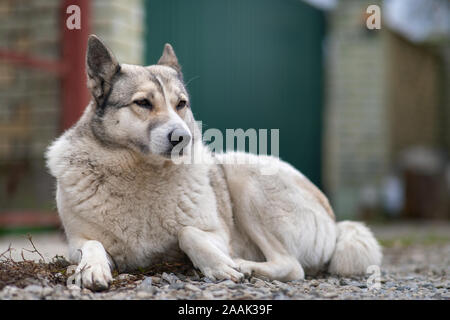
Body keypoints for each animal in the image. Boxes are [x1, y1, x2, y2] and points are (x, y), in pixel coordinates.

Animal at [46, 34, 384, 290]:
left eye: (181, 104)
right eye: (143, 103)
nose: (182, 137)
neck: (143, 171)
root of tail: (334, 220)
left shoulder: (219, 234)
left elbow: (188, 233)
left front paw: (221, 265)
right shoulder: (76, 241)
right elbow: (92, 245)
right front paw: (91, 269)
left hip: (244, 175)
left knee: (292, 266)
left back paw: (247, 265)